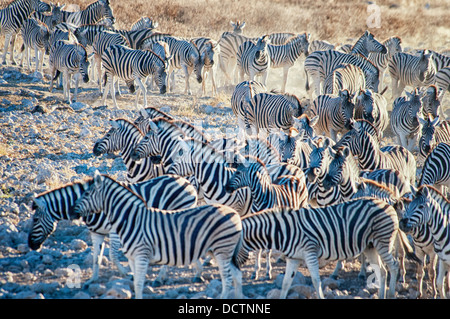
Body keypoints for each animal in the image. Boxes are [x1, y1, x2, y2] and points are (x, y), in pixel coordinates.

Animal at [28, 175, 197, 288]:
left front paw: (127, 274)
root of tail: (186, 181)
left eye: (35, 220)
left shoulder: (115, 231)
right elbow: (96, 257)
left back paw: (161, 277)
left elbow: (113, 256)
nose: (30, 245)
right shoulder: (96, 233)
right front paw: (92, 280)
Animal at [74, 172, 243, 300]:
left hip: (222, 250)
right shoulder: (132, 257)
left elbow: (139, 284)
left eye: (87, 193)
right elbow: (134, 282)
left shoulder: (142, 255)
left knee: (227, 280)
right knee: (236, 276)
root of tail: (235, 214)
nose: (74, 211)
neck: (132, 219)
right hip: (221, 251)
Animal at [237, 199, 420, 298]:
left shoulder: (310, 251)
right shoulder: (293, 258)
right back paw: (381, 296)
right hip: (370, 246)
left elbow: (315, 280)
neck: (283, 230)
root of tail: (388, 204)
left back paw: (391, 295)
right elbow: (286, 283)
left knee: (393, 266)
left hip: (383, 241)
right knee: (381, 271)